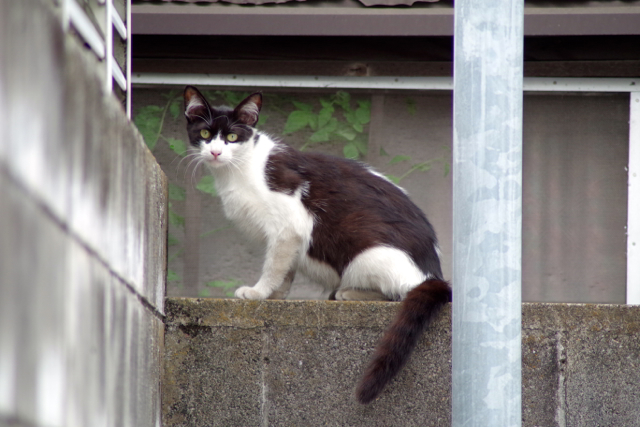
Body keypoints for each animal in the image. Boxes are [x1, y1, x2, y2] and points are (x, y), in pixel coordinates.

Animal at [183, 86, 452, 404]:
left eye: (232, 137)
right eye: (204, 133)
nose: (215, 151)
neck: (240, 169)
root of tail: (434, 273)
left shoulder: (289, 225)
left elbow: (273, 266)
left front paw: (258, 293)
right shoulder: (288, 237)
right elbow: (285, 269)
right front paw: (276, 297)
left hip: (369, 254)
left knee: (398, 292)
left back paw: (347, 293)